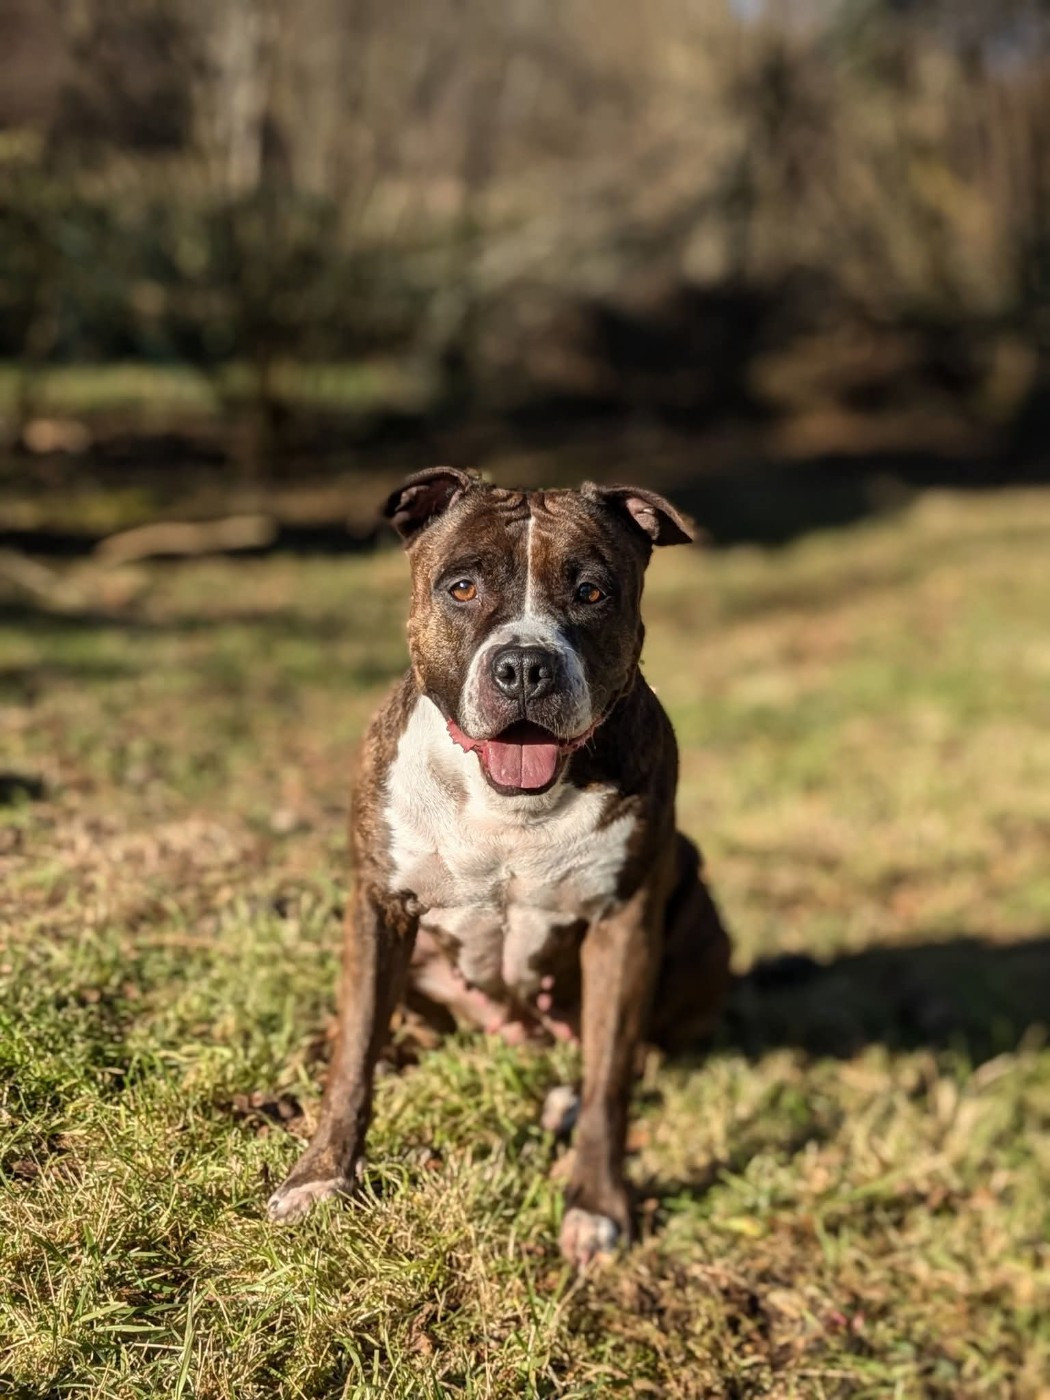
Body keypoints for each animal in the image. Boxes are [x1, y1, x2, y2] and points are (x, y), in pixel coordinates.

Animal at [266, 469, 731, 1266]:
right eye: (462, 587)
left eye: (592, 592)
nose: (524, 667)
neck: (511, 806)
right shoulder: (379, 907)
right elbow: (355, 1054)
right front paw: (323, 1175)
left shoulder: (624, 922)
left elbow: (610, 1083)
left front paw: (597, 1205)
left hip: (699, 918)